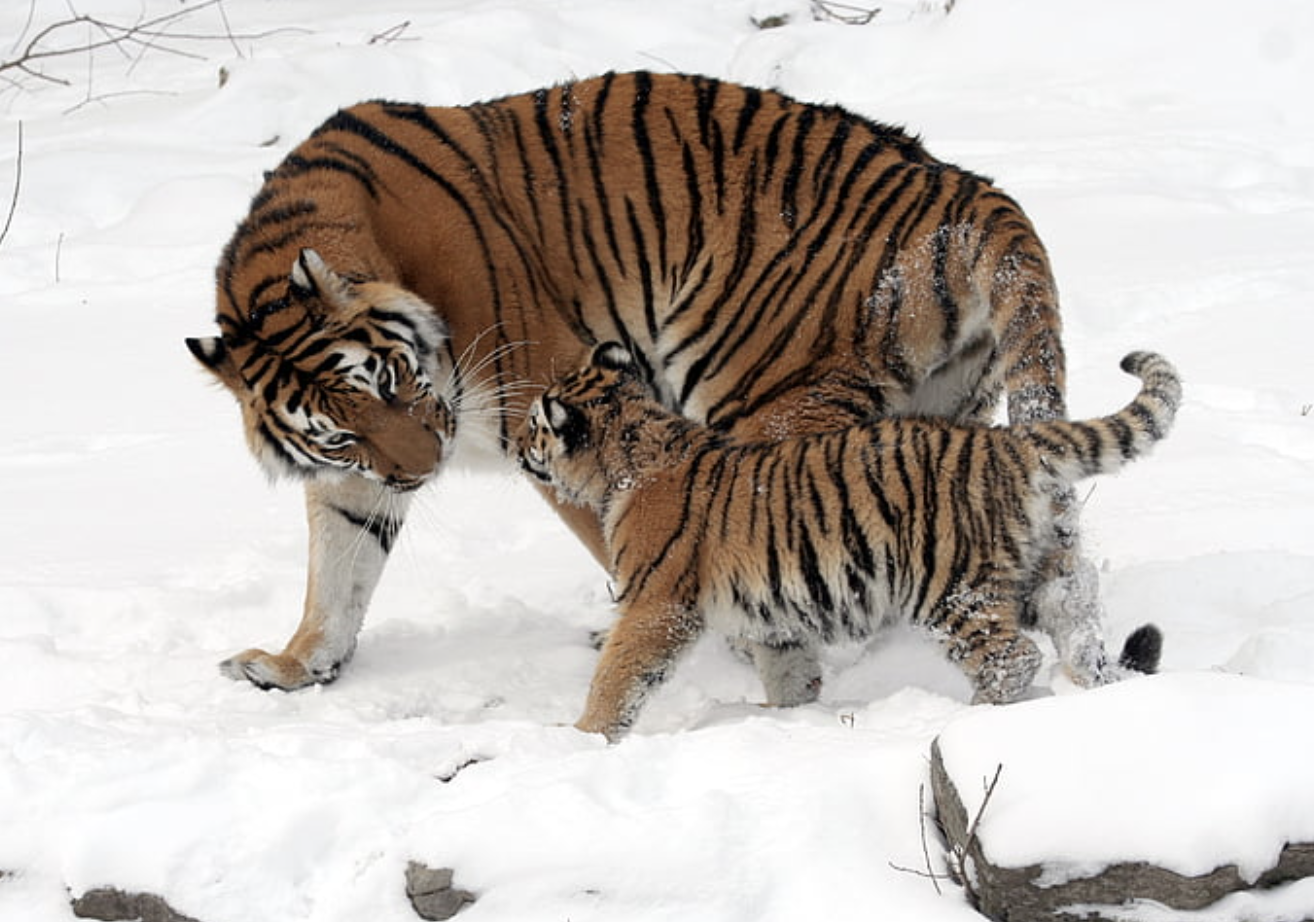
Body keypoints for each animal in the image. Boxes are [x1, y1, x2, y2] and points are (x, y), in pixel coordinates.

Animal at [187, 70, 1113, 695]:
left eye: (388, 379)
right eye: (339, 429)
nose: (423, 470)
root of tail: (966, 188)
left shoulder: (545, 400)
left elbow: (626, 538)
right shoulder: (358, 475)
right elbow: (338, 568)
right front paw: (295, 665)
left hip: (766, 397)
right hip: (944, 409)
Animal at [518, 342, 1179, 740]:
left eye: (533, 425)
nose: (520, 447)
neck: (631, 451)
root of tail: (1009, 441)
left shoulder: (657, 605)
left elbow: (619, 675)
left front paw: (582, 738)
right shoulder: (773, 616)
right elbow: (788, 671)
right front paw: (783, 717)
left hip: (950, 588)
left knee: (1012, 656)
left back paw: (965, 721)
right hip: (1044, 574)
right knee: (1080, 629)